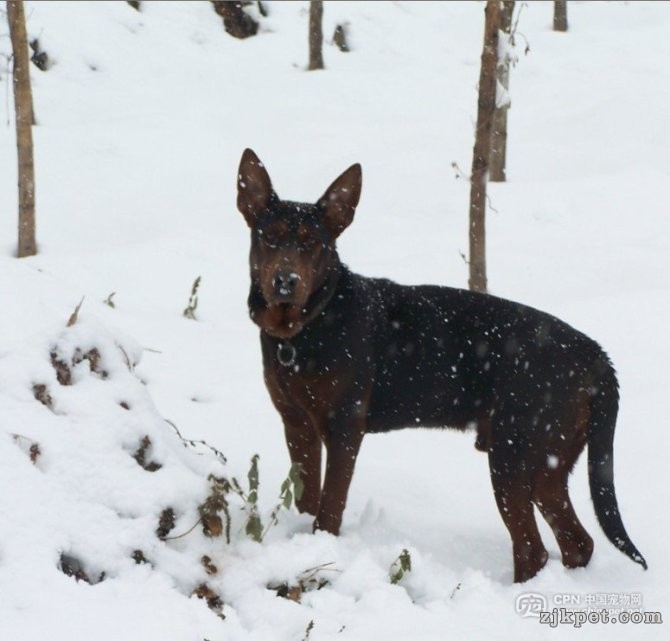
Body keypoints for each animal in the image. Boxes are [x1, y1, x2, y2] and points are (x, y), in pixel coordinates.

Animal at [235, 148, 644, 584]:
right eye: (269, 235)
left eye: (313, 243)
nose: (286, 280)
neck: (306, 329)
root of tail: (596, 356)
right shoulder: (297, 423)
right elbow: (307, 496)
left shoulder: (345, 426)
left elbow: (330, 506)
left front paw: (322, 547)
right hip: (548, 460)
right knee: (576, 542)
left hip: (514, 453)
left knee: (533, 551)